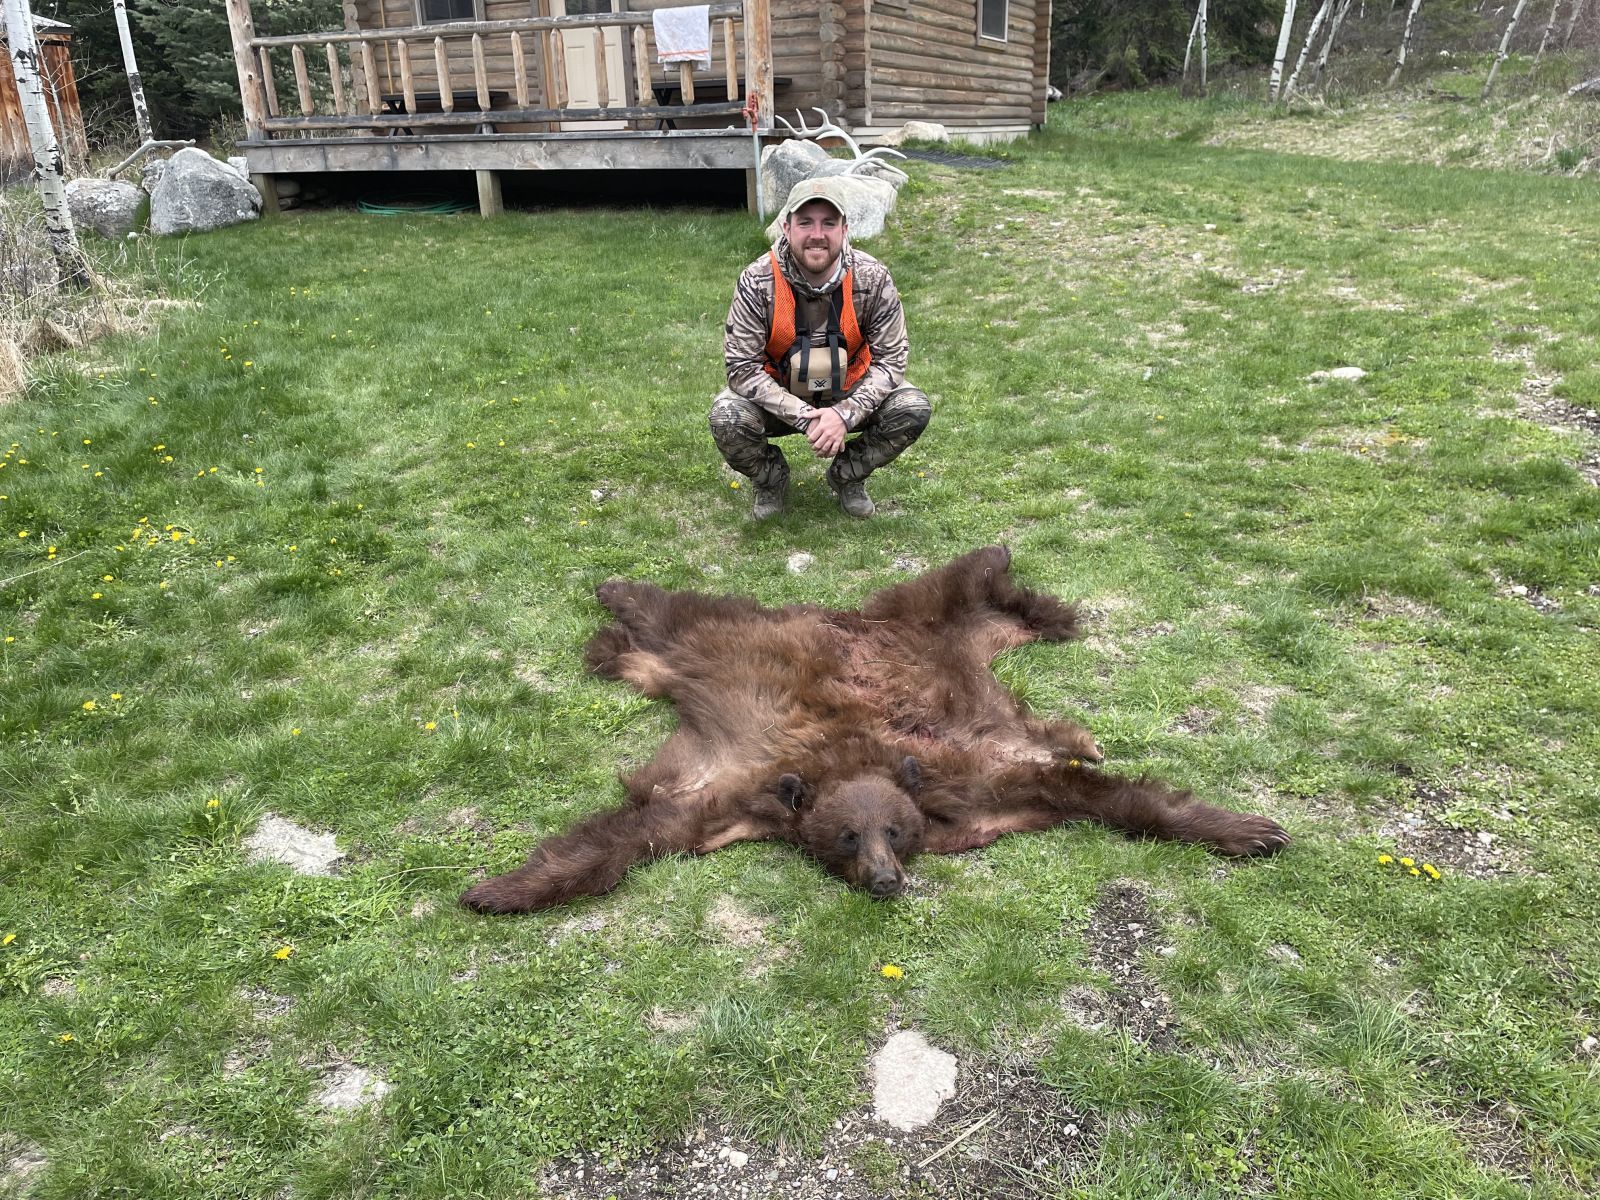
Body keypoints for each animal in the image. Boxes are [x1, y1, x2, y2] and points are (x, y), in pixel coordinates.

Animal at [460, 546, 1289, 914]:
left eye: (895, 830)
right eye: (846, 839)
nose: (886, 879)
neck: (849, 755)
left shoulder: (973, 780)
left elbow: (1089, 794)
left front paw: (1245, 829)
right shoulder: (731, 793)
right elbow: (638, 833)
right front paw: (502, 888)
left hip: (919, 632)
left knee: (965, 583)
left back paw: (1027, 598)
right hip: (715, 653)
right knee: (667, 615)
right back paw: (613, 598)